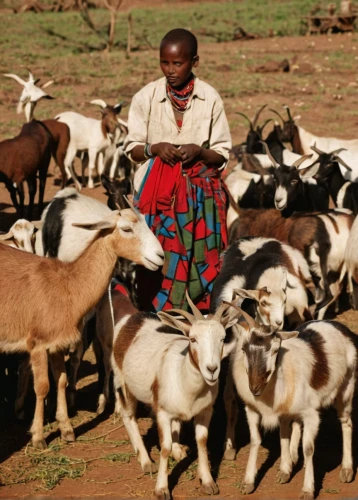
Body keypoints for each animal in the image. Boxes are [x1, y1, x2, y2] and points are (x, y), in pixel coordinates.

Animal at [225, 308, 356, 500]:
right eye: (243, 348)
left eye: (275, 350)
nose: (255, 387)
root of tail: (337, 324)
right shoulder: (253, 409)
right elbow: (258, 440)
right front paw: (249, 482)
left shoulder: (311, 414)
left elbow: (308, 448)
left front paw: (308, 490)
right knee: (292, 426)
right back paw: (289, 464)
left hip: (347, 386)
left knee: (346, 423)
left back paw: (346, 470)